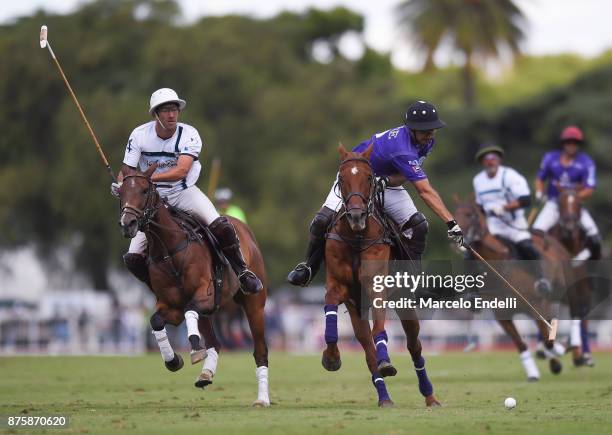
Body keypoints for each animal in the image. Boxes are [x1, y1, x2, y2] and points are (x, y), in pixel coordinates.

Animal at [117, 164, 270, 408]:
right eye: (120, 192)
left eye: (144, 190)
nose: (127, 224)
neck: (169, 250)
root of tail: (242, 227)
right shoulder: (172, 306)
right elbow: (156, 320)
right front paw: (173, 360)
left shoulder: (204, 294)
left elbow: (190, 312)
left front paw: (196, 349)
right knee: (215, 342)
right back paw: (206, 374)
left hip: (253, 303)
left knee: (260, 350)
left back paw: (262, 399)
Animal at [320, 146, 440, 408]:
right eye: (341, 178)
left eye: (368, 177)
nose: (356, 216)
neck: (356, 237)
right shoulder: (338, 287)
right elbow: (331, 313)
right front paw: (331, 357)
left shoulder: (376, 288)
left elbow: (381, 330)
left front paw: (387, 361)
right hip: (357, 309)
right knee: (367, 350)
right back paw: (384, 397)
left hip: (404, 302)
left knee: (414, 345)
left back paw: (430, 395)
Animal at [454, 196, 568, 380]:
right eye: (455, 213)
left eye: (471, 214)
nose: (456, 241)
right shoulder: (502, 315)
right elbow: (521, 344)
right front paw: (534, 373)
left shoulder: (535, 305)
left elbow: (546, 336)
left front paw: (557, 349)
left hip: (558, 292)